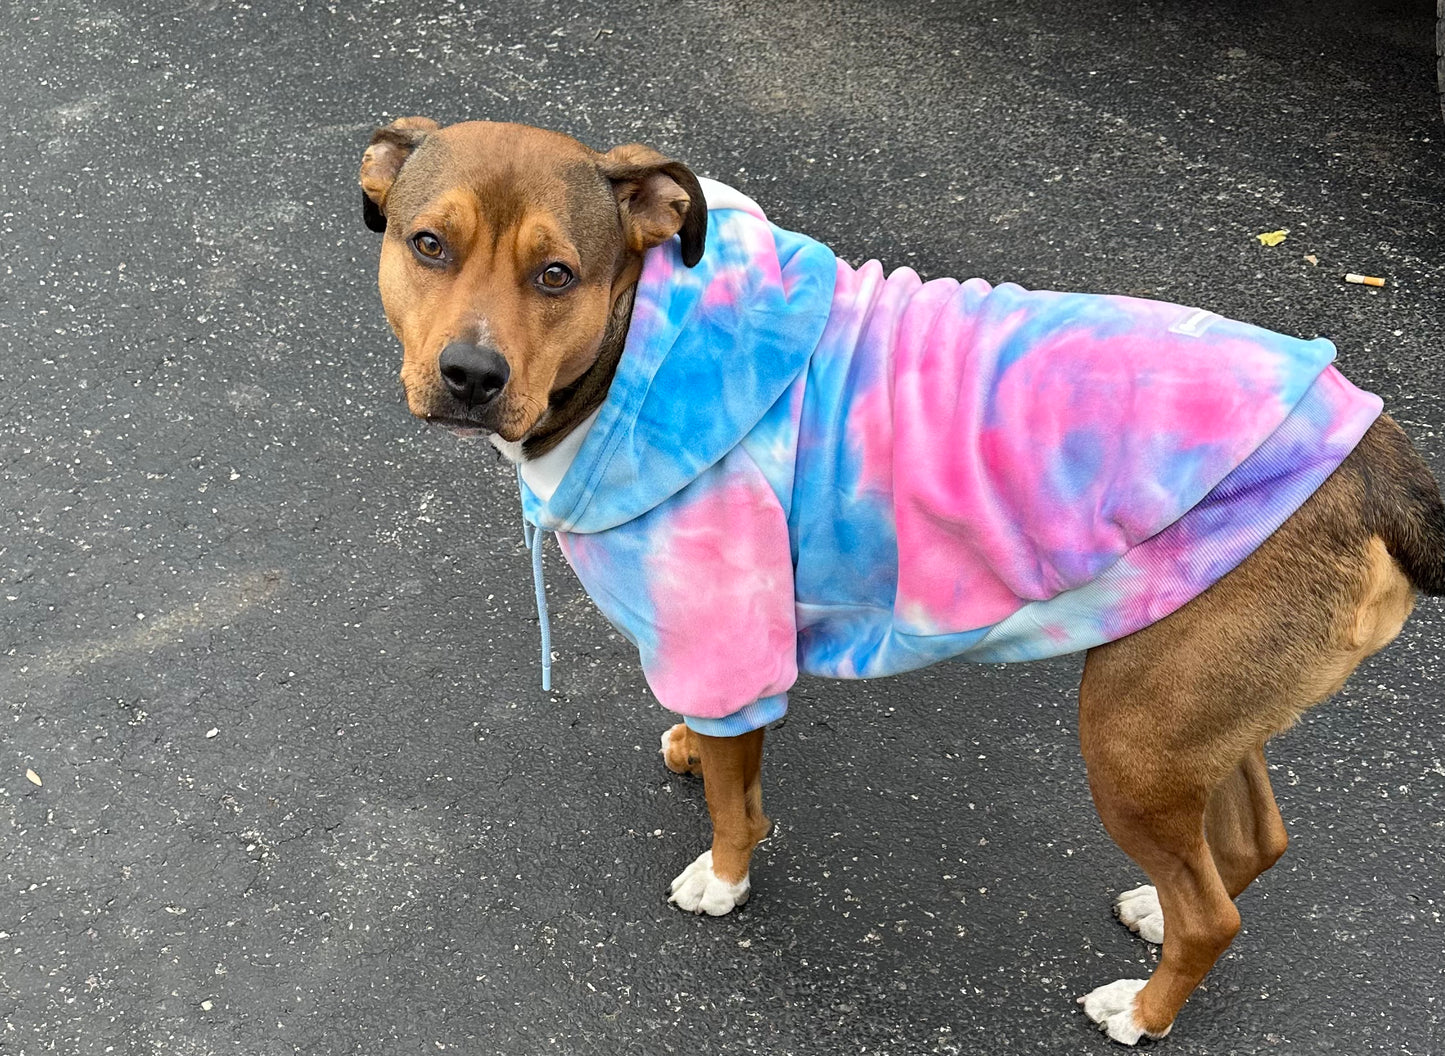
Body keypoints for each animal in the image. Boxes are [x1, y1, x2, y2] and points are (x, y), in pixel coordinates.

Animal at [355, 119, 1439, 1045]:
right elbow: (719, 747)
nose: (470, 375)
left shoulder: (725, 634)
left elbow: (736, 803)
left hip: (1131, 738)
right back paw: (1151, 914)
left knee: (1213, 913)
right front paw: (691, 749)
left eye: (556, 275)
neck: (630, 351)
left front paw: (724, 877)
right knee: (1252, 844)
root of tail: (1372, 451)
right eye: (428, 245)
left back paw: (1141, 1009)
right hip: (1193, 718)